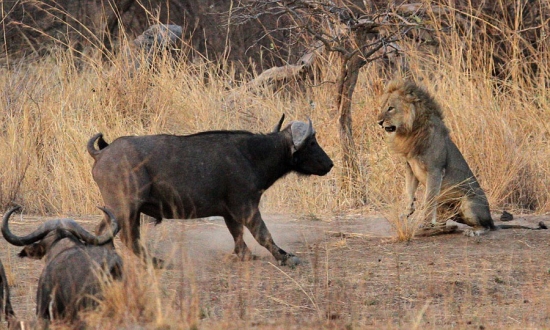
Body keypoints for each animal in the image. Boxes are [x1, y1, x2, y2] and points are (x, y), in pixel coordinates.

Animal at [88, 114, 334, 266]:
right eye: (312, 143)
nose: (330, 164)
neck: (253, 154)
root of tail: (102, 152)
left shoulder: (229, 213)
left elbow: (237, 234)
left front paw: (246, 255)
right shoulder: (246, 207)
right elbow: (262, 233)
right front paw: (285, 257)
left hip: (115, 209)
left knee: (103, 231)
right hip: (126, 208)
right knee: (128, 237)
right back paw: (156, 262)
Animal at [378, 79, 544, 236]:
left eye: (390, 108)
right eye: (383, 107)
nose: (379, 122)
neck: (410, 131)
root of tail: (491, 218)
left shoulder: (435, 170)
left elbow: (429, 199)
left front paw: (424, 222)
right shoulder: (410, 167)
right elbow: (409, 190)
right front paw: (407, 210)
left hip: (469, 203)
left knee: (486, 227)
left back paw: (473, 231)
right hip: (446, 206)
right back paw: (441, 228)